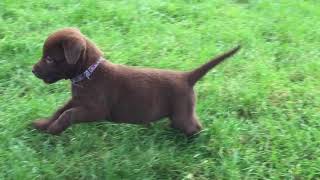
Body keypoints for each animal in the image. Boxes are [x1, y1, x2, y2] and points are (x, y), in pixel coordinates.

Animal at [31, 27, 240, 136]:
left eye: (50, 59)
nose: (32, 70)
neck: (89, 72)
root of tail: (187, 77)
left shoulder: (96, 110)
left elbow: (69, 115)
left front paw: (53, 129)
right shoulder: (77, 100)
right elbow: (60, 110)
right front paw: (43, 124)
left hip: (183, 113)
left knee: (195, 127)